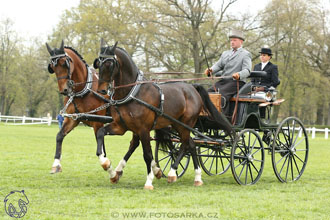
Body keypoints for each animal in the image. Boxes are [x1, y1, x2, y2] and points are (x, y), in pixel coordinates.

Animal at [44, 40, 142, 182]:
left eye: (64, 63)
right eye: (52, 66)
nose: (64, 90)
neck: (85, 89)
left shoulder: (98, 122)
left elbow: (100, 148)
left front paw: (109, 169)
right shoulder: (73, 119)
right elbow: (59, 136)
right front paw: (56, 164)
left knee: (135, 143)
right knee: (135, 143)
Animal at [93, 40, 232, 188]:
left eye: (109, 63)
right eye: (98, 63)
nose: (101, 90)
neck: (133, 92)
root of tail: (192, 87)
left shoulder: (143, 129)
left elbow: (147, 155)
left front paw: (149, 181)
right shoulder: (121, 126)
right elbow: (101, 133)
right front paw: (107, 166)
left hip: (186, 124)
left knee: (185, 145)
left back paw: (172, 173)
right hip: (178, 125)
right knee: (191, 144)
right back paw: (197, 178)